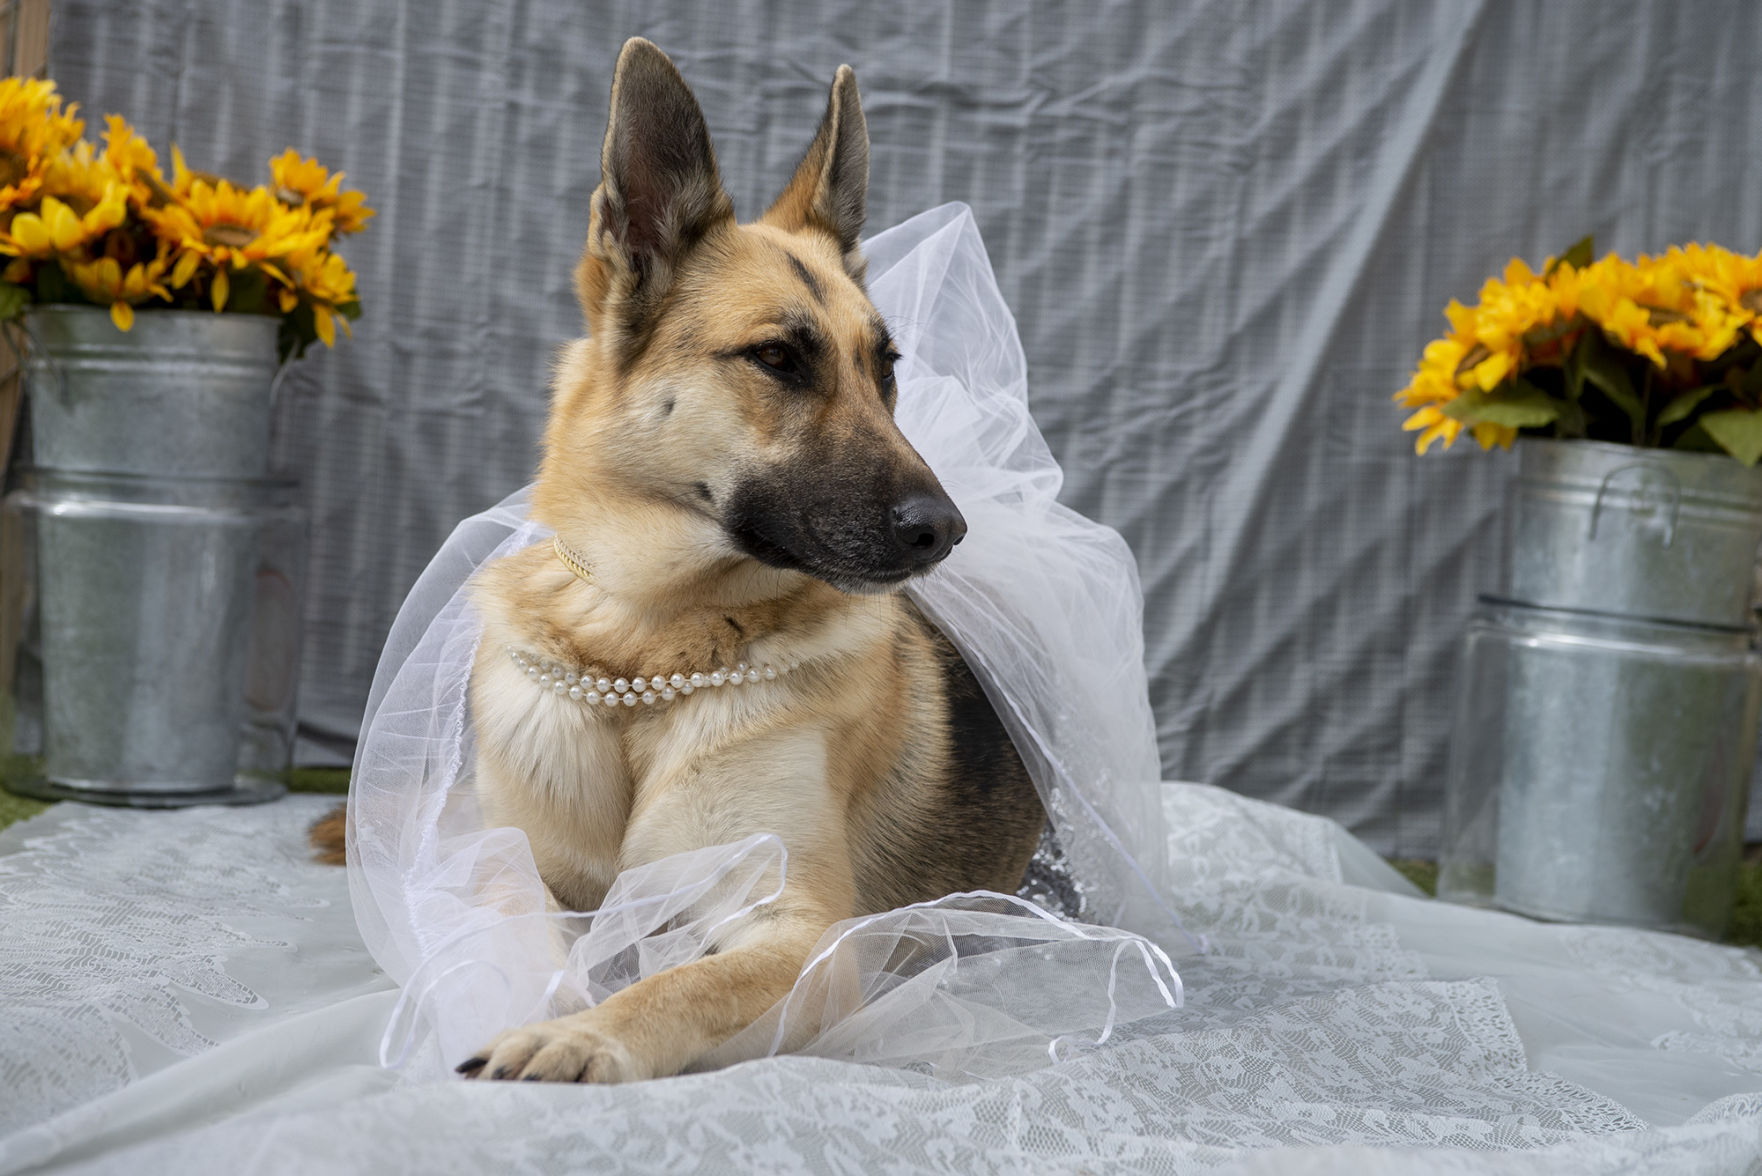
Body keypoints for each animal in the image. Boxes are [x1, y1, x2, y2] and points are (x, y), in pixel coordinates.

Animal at [313, 36, 1043, 1086]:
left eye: (887, 367)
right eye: (779, 358)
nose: (943, 531)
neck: (645, 640)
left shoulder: (802, 935)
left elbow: (680, 986)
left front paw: (582, 1037)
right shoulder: (505, 875)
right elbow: (517, 943)